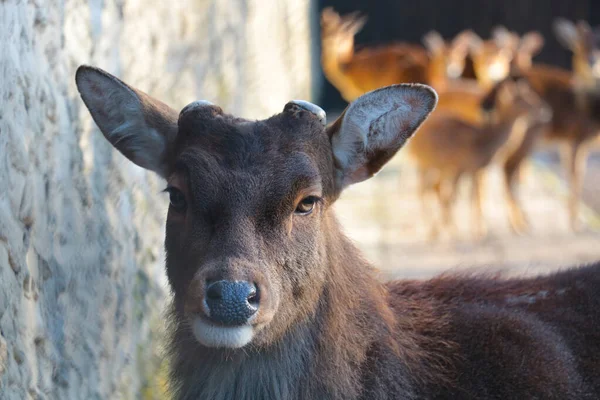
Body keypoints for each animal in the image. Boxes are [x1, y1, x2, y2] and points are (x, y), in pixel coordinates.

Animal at [406, 76, 552, 239]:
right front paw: (453, 232)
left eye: (530, 95)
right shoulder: (459, 166)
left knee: (426, 188)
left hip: (431, 164)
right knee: (424, 189)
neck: (481, 143)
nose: (544, 111)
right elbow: (453, 197)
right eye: (523, 99)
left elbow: (470, 196)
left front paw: (473, 232)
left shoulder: (471, 169)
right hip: (425, 162)